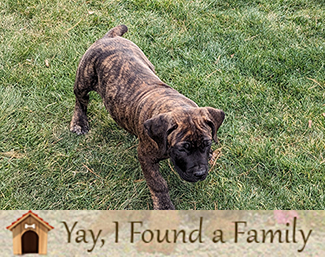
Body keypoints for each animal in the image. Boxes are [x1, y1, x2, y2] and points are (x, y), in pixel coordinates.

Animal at [69, 24, 224, 208]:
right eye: (182, 148)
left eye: (206, 143)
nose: (200, 173)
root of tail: (110, 37)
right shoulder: (145, 157)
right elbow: (158, 183)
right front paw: (163, 205)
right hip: (84, 78)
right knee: (81, 101)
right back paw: (79, 122)